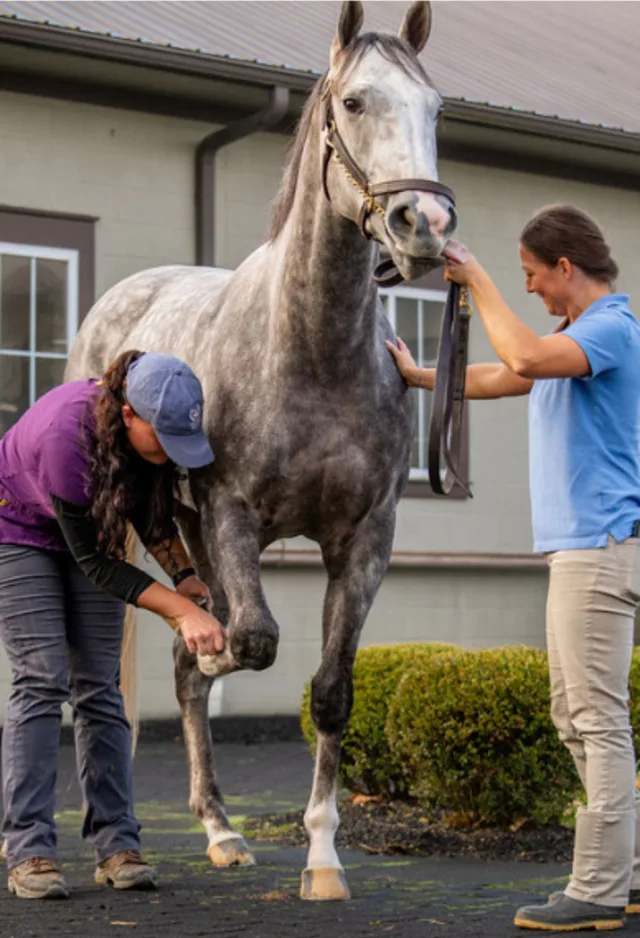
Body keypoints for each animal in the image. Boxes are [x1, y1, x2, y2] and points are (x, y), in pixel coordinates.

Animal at [65, 0, 458, 901]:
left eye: (435, 109)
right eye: (353, 102)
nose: (424, 225)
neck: (313, 352)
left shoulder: (365, 541)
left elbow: (330, 690)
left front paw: (322, 857)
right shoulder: (232, 516)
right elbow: (248, 643)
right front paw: (214, 649)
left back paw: (221, 828)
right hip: (154, 524)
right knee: (172, 658)